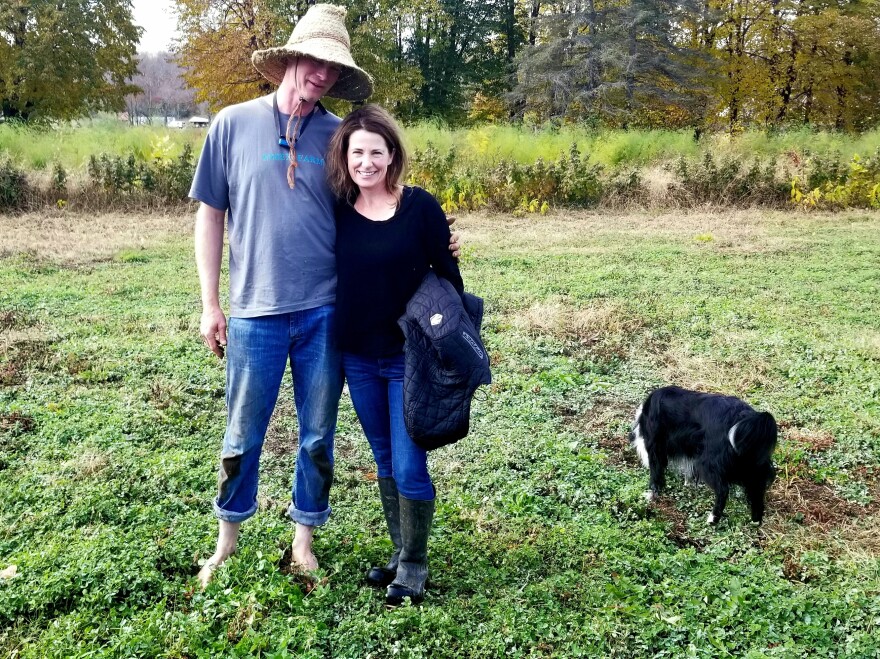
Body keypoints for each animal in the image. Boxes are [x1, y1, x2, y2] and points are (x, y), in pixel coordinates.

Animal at [624, 386, 776, 524]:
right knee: (757, 492)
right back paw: (755, 521)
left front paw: (650, 495)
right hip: (753, 467)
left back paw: (712, 519)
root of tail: (745, 417)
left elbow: (656, 473)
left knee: (723, 490)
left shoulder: (655, 445)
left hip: (708, 462)